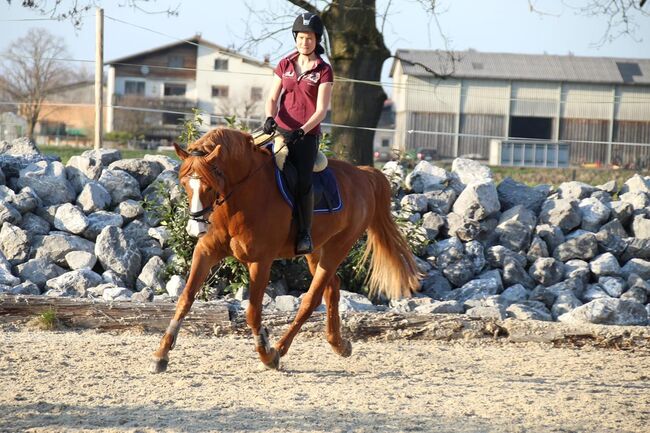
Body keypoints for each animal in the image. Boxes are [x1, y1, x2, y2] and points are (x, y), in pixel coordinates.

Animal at [150, 125, 418, 372]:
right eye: (185, 184)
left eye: (209, 184)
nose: (195, 227)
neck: (241, 196)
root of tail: (363, 174)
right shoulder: (206, 252)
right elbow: (185, 298)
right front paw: (161, 354)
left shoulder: (260, 261)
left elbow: (253, 312)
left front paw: (266, 354)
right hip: (315, 250)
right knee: (332, 287)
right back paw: (339, 345)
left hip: (338, 247)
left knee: (312, 298)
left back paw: (280, 348)